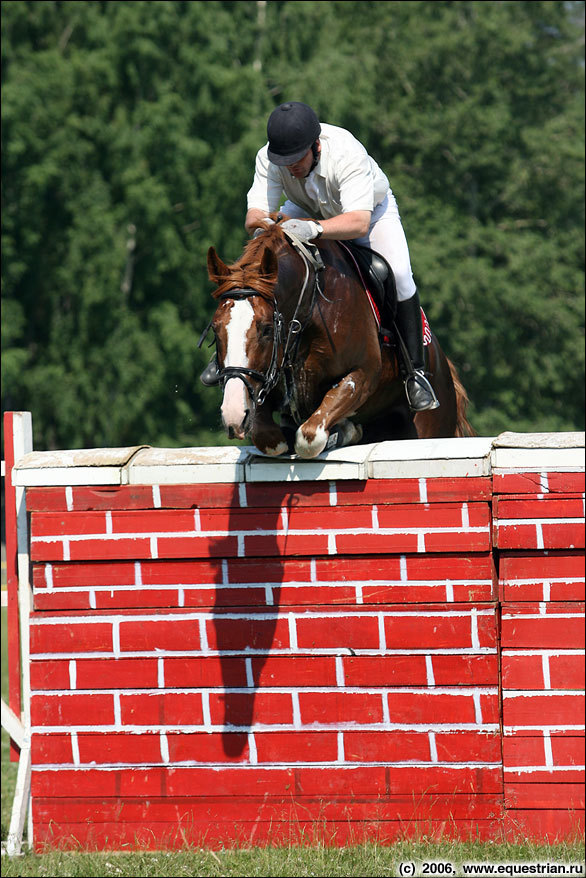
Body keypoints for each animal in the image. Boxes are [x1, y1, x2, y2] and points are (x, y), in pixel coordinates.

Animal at [203, 217, 472, 460]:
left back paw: (418, 388)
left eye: (267, 329)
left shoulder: (362, 374)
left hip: (429, 424)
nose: (233, 414)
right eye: (215, 330)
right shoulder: (260, 382)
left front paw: (346, 431)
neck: (309, 308)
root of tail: (442, 363)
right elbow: (271, 440)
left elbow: (309, 437)